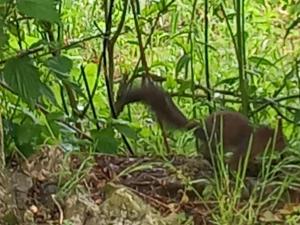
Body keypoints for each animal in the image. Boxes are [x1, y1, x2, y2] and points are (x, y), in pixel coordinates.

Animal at [115, 81, 286, 169]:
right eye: (280, 140)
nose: (286, 148)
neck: (259, 137)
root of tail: (200, 128)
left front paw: (254, 162)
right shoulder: (245, 146)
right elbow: (236, 162)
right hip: (217, 140)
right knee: (204, 150)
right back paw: (214, 160)